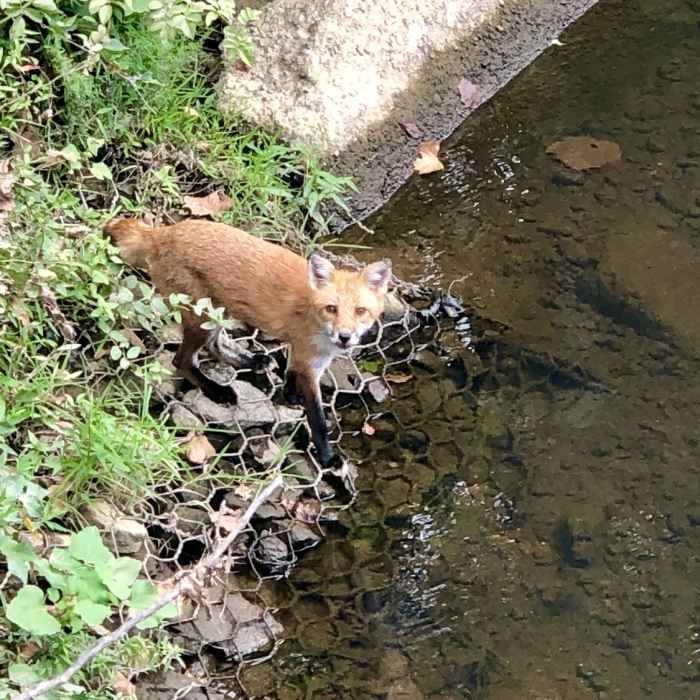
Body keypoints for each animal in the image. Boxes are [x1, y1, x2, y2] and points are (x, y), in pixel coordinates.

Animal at [104, 217, 392, 465]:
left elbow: (290, 373)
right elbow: (317, 419)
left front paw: (290, 396)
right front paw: (327, 456)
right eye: (332, 309)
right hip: (202, 316)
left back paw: (251, 361)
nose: (345, 337)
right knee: (182, 360)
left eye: (360, 311)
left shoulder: (309, 357)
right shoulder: (309, 360)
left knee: (215, 345)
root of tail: (163, 233)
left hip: (218, 313)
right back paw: (217, 390)